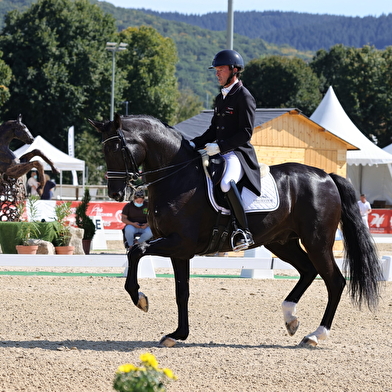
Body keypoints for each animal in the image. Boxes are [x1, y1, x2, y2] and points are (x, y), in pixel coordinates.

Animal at [87, 113, 382, 346]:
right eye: (103, 151)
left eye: (117, 148)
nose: (115, 193)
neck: (177, 177)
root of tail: (326, 176)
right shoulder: (179, 250)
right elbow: (182, 292)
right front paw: (178, 334)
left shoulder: (179, 242)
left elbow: (136, 250)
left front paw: (140, 298)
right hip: (282, 242)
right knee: (308, 271)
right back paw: (291, 318)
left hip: (317, 241)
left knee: (335, 281)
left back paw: (315, 335)